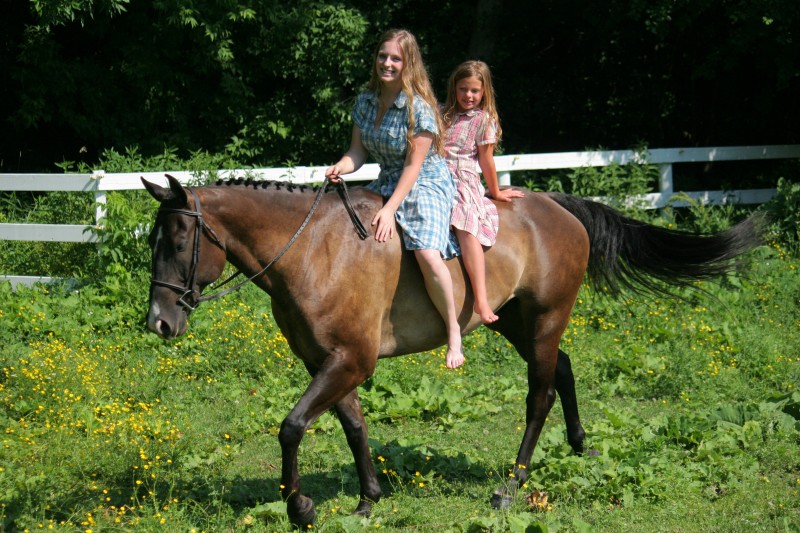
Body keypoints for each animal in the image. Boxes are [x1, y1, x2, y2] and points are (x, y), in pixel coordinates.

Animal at [142, 174, 763, 528]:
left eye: (178, 240)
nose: (159, 323)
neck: (315, 250)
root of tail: (555, 205)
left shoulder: (349, 362)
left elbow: (292, 426)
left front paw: (301, 508)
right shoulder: (327, 362)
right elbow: (354, 427)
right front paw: (368, 499)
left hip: (544, 320)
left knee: (540, 394)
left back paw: (511, 485)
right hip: (512, 320)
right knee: (562, 371)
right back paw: (580, 446)